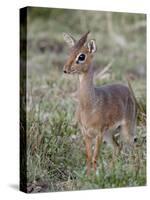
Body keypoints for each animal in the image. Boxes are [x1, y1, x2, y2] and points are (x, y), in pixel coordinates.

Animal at [62, 30, 137, 175]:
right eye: (70, 51)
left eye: (81, 56)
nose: (65, 69)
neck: (89, 105)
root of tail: (127, 90)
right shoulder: (86, 133)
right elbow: (88, 157)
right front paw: (88, 176)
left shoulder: (99, 133)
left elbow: (95, 157)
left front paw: (94, 177)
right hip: (110, 134)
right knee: (117, 147)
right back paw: (112, 172)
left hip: (126, 130)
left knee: (134, 149)